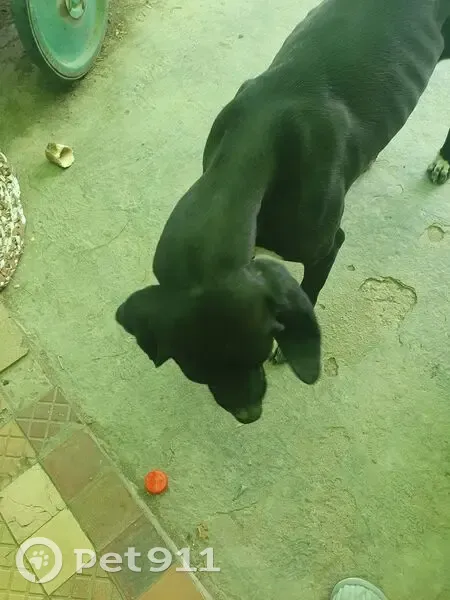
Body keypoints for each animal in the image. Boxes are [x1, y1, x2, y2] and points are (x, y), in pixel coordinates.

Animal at [116, 0, 450, 424]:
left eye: (258, 352)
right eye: (196, 372)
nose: (249, 415)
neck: (250, 153)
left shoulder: (326, 246)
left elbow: (311, 287)